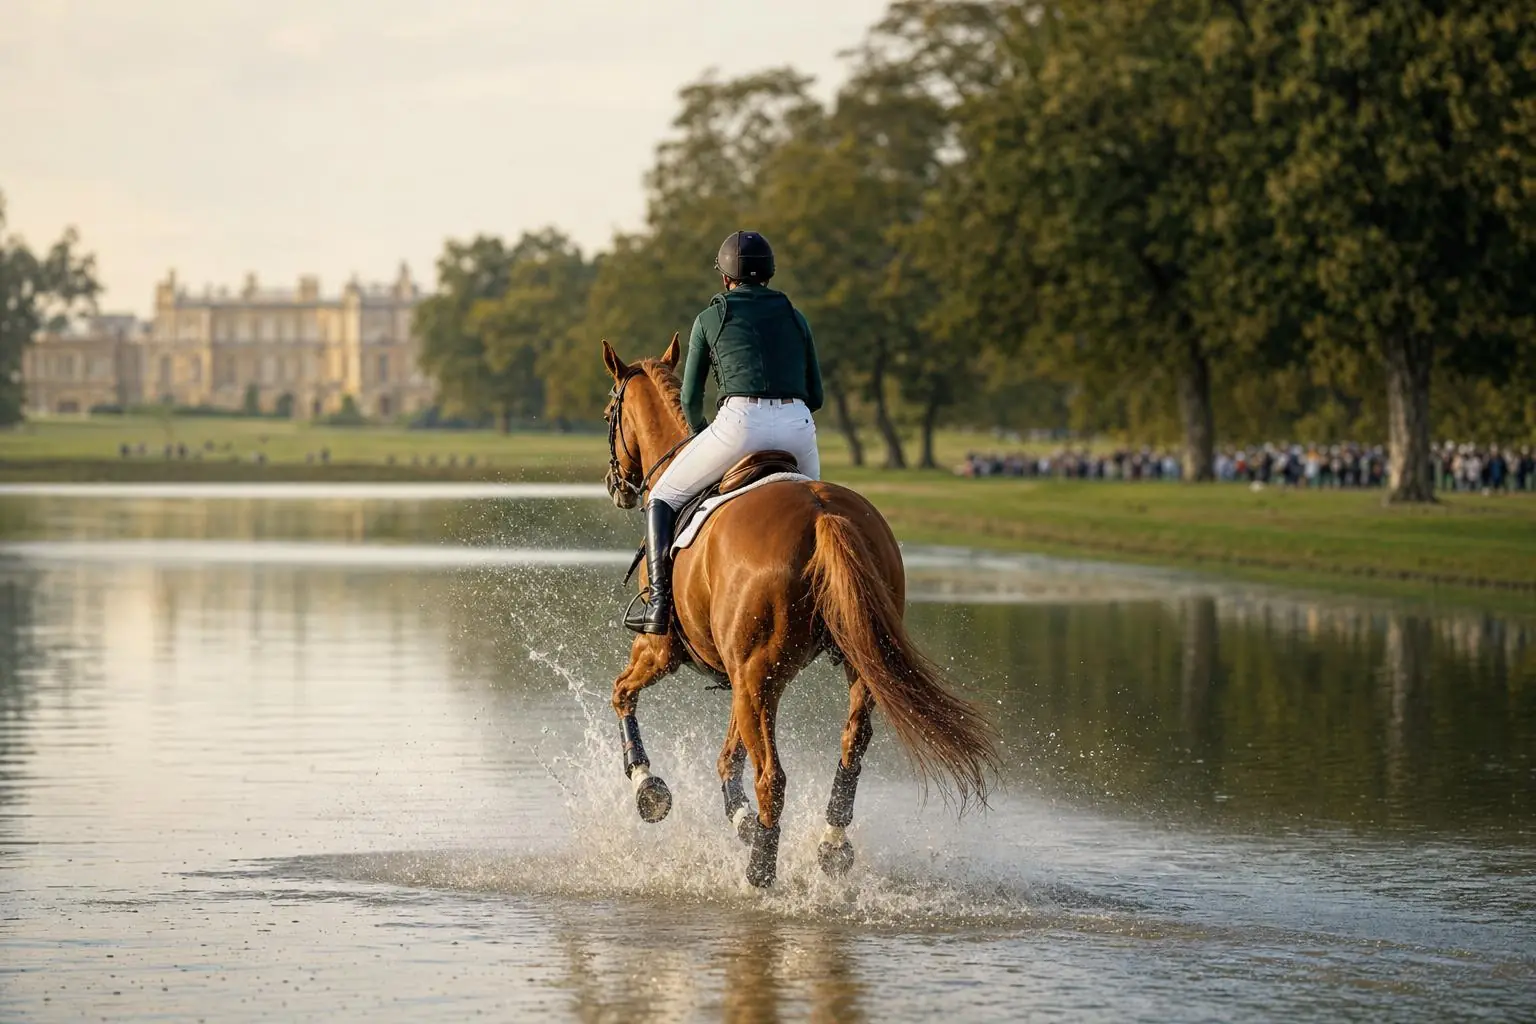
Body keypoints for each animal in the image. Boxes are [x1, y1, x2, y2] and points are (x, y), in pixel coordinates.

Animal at [601, 334, 997, 887]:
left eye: (607, 413)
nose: (615, 486)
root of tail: (821, 516)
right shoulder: (738, 673)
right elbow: (727, 756)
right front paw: (740, 820)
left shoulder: (662, 651)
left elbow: (622, 694)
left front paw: (648, 788)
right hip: (845, 665)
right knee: (850, 746)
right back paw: (830, 845)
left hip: (757, 677)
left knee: (773, 775)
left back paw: (760, 871)